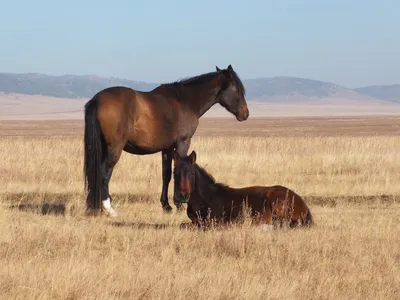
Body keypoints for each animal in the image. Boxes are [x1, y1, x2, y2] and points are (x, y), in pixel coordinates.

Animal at [83, 64, 248, 217]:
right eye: (237, 88)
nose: (245, 114)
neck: (185, 101)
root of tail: (97, 100)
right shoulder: (182, 143)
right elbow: (179, 169)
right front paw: (179, 204)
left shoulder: (167, 148)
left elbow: (166, 174)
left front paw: (166, 206)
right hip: (114, 148)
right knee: (104, 174)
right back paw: (109, 209)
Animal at [173, 150, 314, 230]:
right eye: (175, 173)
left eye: (191, 174)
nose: (184, 196)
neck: (206, 198)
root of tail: (303, 203)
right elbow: (182, 225)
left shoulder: (214, 222)